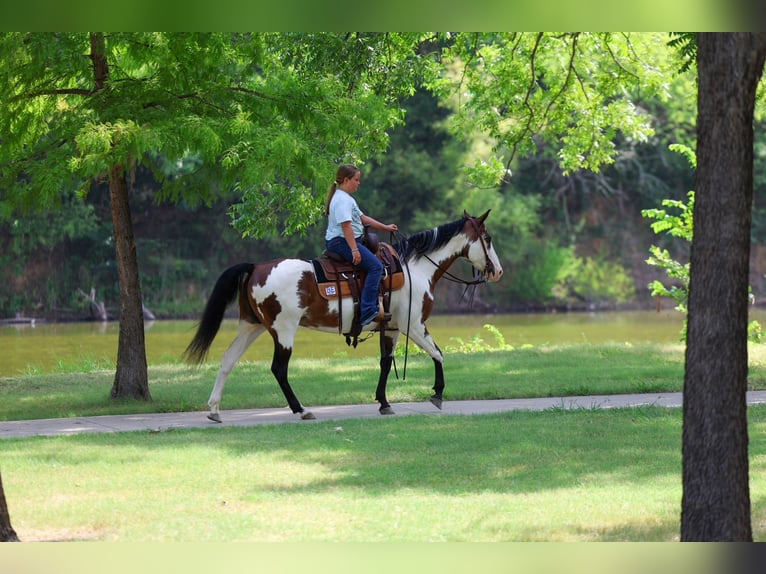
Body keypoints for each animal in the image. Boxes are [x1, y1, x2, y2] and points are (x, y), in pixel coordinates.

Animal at [183, 210, 503, 422]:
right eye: (487, 238)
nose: (498, 271)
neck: (415, 268)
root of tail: (256, 267)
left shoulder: (391, 328)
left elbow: (385, 364)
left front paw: (384, 402)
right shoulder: (413, 326)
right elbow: (438, 354)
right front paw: (437, 394)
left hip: (252, 326)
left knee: (228, 360)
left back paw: (214, 410)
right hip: (283, 329)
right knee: (279, 369)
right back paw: (302, 410)